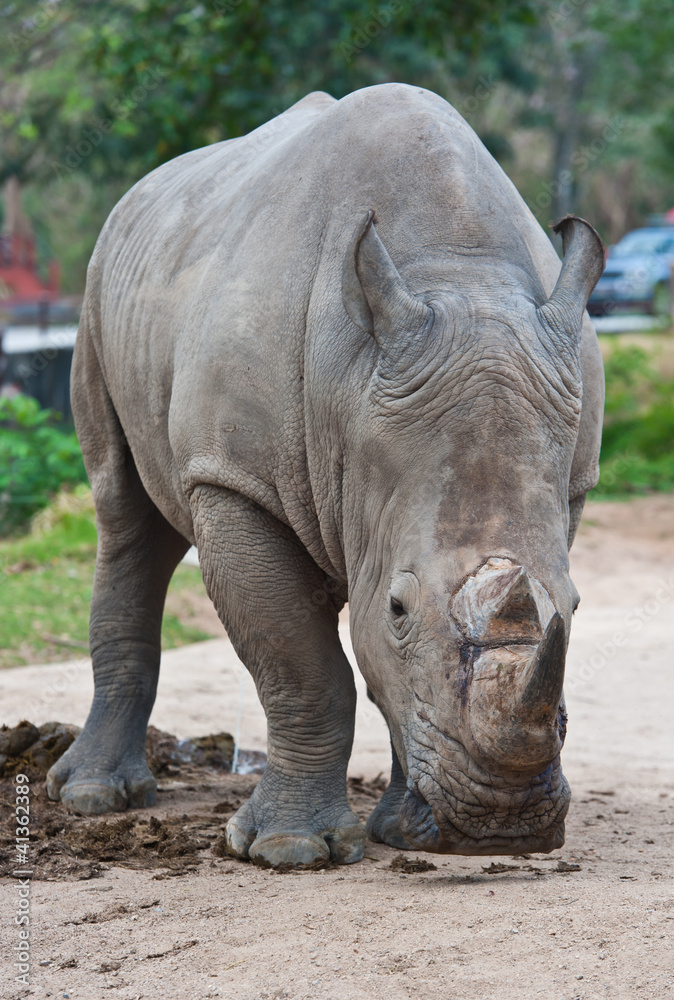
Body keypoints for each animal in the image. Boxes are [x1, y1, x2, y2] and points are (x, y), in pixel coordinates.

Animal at [47, 84, 605, 869]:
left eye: (579, 606)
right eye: (400, 609)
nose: (506, 823)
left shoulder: (569, 480)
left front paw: (404, 830)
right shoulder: (233, 479)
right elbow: (300, 663)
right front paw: (290, 849)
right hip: (100, 290)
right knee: (124, 513)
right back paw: (94, 798)